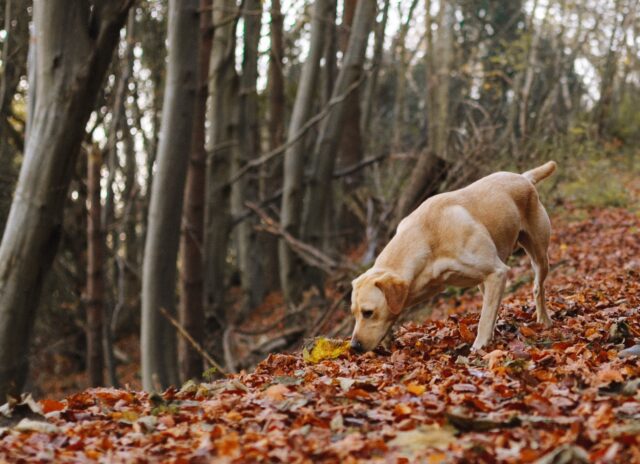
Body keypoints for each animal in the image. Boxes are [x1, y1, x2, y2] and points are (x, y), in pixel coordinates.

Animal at [350, 162, 556, 352]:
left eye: (368, 312)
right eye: (354, 313)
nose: (354, 346)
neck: (427, 238)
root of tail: (523, 177)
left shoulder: (497, 272)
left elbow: (485, 318)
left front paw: (479, 345)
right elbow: (488, 312)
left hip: (539, 256)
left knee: (537, 288)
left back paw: (543, 320)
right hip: (484, 280)